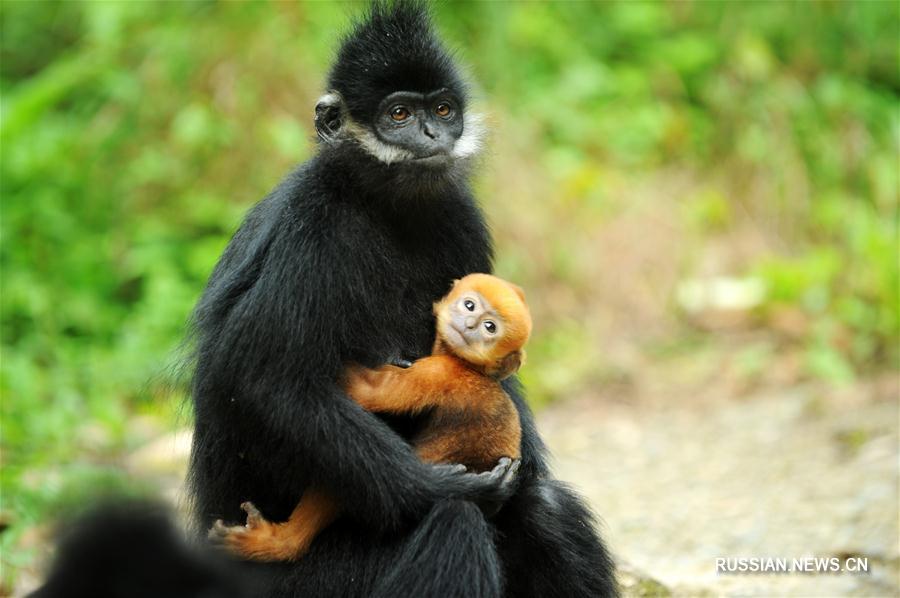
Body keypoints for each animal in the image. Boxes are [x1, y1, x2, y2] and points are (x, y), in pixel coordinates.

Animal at [209, 274, 536, 564]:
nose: (469, 325)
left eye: (490, 327)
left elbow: (371, 392)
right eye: (470, 305)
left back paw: (279, 543)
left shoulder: (439, 372)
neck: (468, 366)